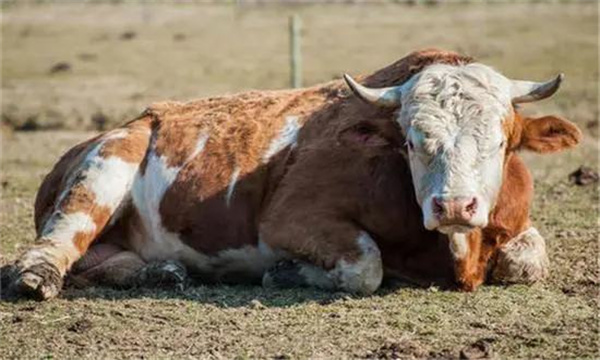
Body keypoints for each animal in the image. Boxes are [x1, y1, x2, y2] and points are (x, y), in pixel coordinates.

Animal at [1, 48, 580, 300]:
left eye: (500, 142)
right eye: (413, 142)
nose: (455, 206)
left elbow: (527, 261)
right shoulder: (289, 218)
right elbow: (365, 266)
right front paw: (284, 273)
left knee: (100, 260)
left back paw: (157, 272)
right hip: (104, 166)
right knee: (58, 243)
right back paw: (38, 277)